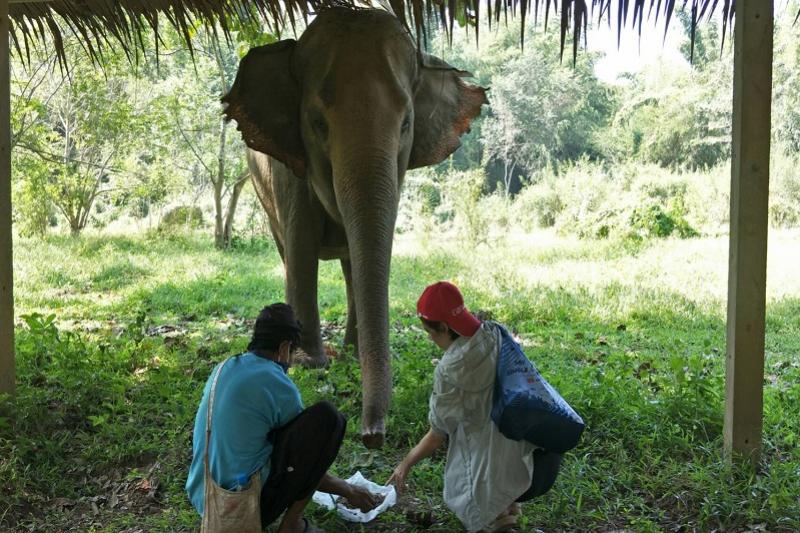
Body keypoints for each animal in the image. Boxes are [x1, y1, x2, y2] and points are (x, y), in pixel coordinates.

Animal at [222, 6, 487, 448]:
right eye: (317, 123)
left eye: (406, 123)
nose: (371, 435)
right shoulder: (289, 172)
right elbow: (301, 249)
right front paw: (308, 362)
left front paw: (347, 356)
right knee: (289, 253)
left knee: (349, 264)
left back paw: (349, 348)